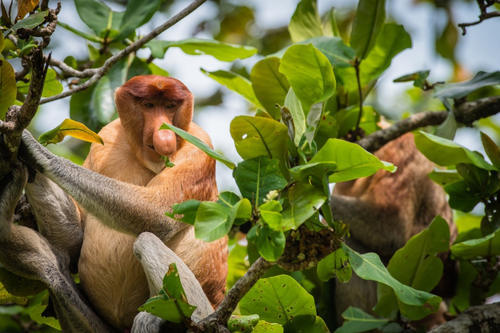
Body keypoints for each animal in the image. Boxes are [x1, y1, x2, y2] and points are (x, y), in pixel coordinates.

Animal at [0, 75, 227, 330]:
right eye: (148, 105)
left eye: (170, 106)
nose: (164, 134)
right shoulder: (105, 136)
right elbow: (73, 242)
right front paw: (18, 139)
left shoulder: (198, 147)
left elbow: (156, 212)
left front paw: (34, 149)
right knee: (50, 266)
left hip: (205, 307)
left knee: (147, 240)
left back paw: (166, 317)